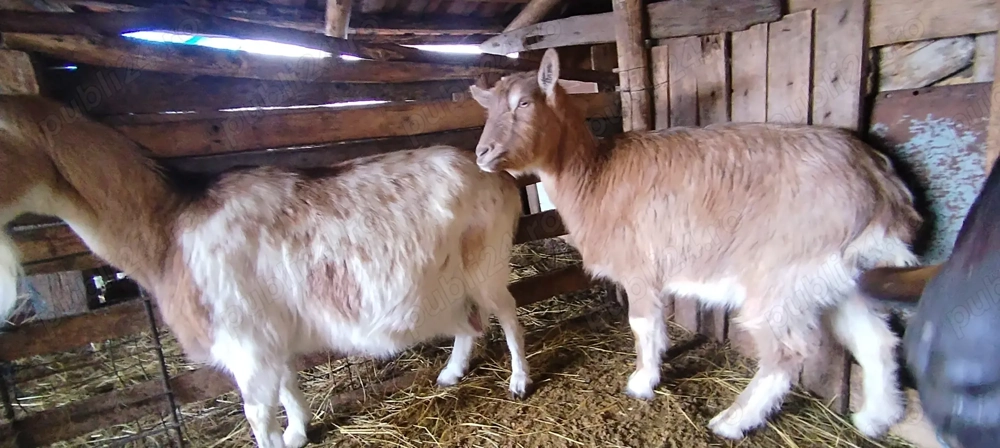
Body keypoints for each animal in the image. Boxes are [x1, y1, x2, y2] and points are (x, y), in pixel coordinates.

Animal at [0, 95, 532, 448]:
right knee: (470, 320)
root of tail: (498, 176)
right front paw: (298, 432)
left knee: (506, 312)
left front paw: (282, 436)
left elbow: (258, 415)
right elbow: (289, 384)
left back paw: (519, 381)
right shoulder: (269, 334)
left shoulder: (245, 345)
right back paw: (451, 373)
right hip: (449, 280)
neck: (170, 224)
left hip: (486, 262)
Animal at [469, 48, 923, 440]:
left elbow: (642, 325)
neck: (595, 176)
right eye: (489, 109)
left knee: (786, 353)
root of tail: (880, 183)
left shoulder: (639, 269)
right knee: (877, 341)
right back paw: (875, 418)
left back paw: (733, 421)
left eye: (525, 103)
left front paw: (642, 382)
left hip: (783, 275)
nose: (483, 153)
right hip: (840, 277)